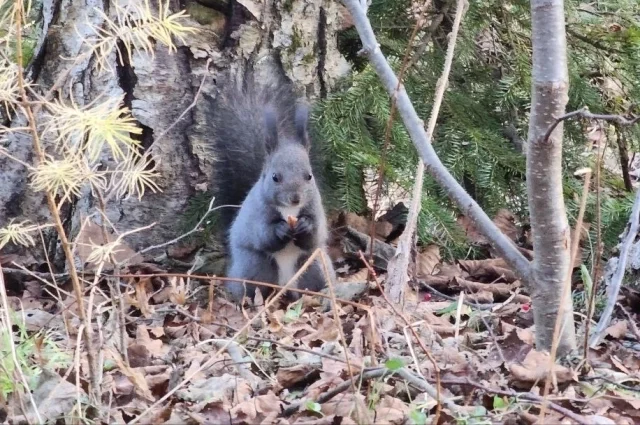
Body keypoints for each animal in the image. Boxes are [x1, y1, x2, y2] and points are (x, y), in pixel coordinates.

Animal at [212, 77, 338, 302]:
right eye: (275, 177)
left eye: (309, 176)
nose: (295, 198)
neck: (289, 212)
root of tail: (285, 286)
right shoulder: (257, 214)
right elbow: (262, 235)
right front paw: (279, 230)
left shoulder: (316, 208)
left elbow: (316, 234)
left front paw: (305, 225)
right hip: (254, 267)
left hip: (315, 266)